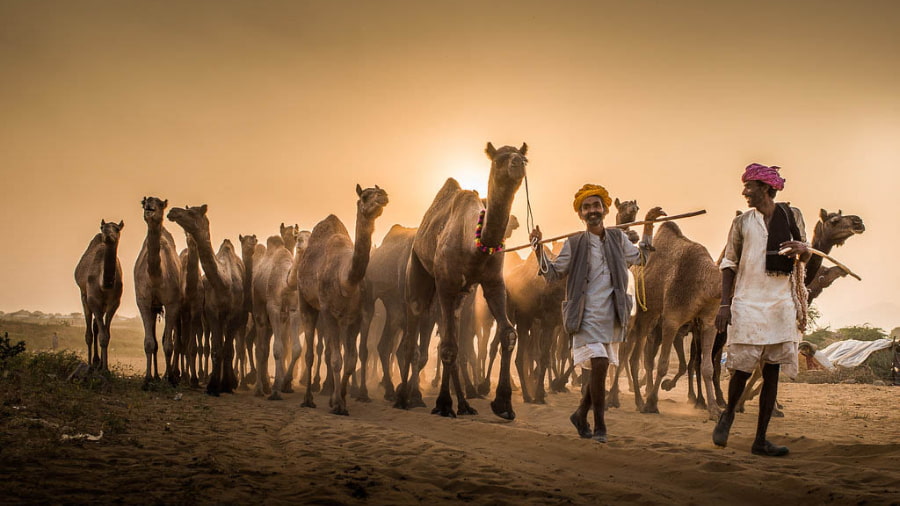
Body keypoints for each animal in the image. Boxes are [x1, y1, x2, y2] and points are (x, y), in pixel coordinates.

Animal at [74, 219, 124, 371]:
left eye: (117, 228)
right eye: (103, 227)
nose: (107, 234)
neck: (105, 284)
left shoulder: (114, 303)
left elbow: (106, 335)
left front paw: (105, 368)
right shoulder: (93, 300)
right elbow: (101, 335)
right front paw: (100, 367)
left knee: (96, 326)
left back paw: (97, 362)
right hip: (84, 296)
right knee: (89, 331)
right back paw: (91, 364)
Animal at [134, 197, 183, 386]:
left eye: (160, 204)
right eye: (144, 202)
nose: (150, 207)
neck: (156, 276)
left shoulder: (172, 303)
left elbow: (168, 344)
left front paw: (170, 379)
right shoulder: (143, 302)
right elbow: (150, 343)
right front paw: (147, 380)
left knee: (172, 340)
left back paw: (170, 375)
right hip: (154, 307)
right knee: (155, 341)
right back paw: (155, 376)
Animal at [167, 204, 244, 396]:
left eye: (191, 212)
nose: (172, 211)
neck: (224, 283)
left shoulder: (234, 314)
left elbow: (227, 349)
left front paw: (226, 384)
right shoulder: (211, 312)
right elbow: (216, 349)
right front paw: (213, 386)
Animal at [297, 184, 389, 415]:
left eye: (379, 191)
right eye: (364, 196)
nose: (383, 196)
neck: (346, 280)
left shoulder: (354, 317)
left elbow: (350, 360)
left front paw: (341, 400)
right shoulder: (328, 311)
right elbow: (337, 360)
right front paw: (338, 404)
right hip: (306, 302)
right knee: (311, 352)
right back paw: (308, 398)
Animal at [394, 142, 527, 419]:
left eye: (524, 157)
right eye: (498, 159)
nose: (517, 163)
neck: (474, 245)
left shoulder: (493, 283)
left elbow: (508, 334)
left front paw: (503, 404)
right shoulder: (446, 285)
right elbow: (448, 346)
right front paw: (444, 404)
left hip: (460, 298)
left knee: (454, 335)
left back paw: (465, 404)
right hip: (418, 271)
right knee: (413, 330)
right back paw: (403, 398)